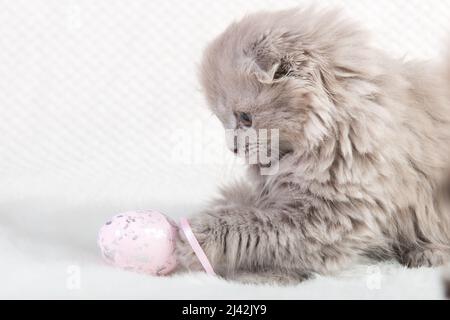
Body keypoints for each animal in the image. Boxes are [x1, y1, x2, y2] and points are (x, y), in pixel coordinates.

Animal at [175, 6, 450, 284]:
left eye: (245, 118)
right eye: (222, 121)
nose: (232, 148)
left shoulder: (328, 221)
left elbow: (251, 228)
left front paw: (195, 240)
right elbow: (241, 204)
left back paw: (427, 253)